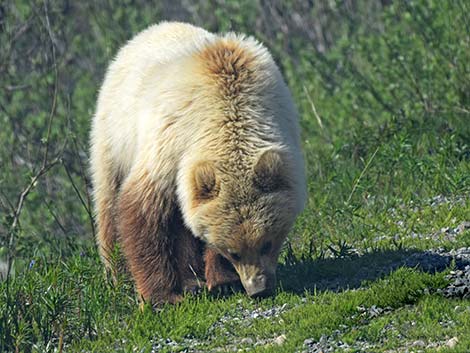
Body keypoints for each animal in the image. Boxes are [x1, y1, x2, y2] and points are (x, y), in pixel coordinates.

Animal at [90, 22, 306, 304]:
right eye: (234, 252)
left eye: (267, 243)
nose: (259, 289)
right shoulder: (171, 142)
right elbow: (145, 212)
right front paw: (162, 297)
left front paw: (223, 282)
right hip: (115, 136)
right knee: (109, 203)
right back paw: (117, 275)